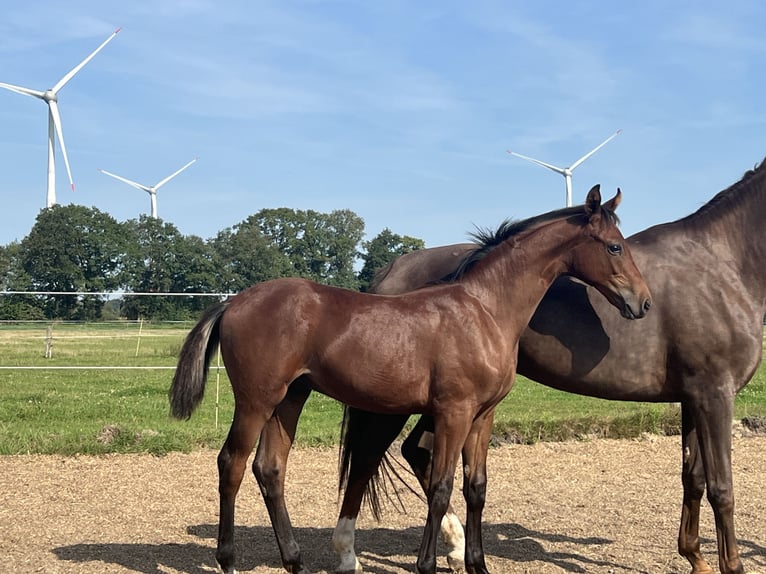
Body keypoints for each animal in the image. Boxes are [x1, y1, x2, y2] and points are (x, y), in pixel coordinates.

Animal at [171, 187, 652, 574]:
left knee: (270, 469)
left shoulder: (483, 416)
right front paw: (428, 565)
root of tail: (233, 301)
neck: (484, 309)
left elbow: (476, 488)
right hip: (257, 400)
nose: (643, 303)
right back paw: (229, 561)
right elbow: (440, 488)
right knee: (231, 465)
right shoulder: (454, 412)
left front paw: (477, 564)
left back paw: (295, 561)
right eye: (614, 246)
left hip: (290, 399)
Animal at [340, 159, 766, 574]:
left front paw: (695, 556)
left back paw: (456, 546)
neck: (719, 265)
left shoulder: (693, 399)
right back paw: (349, 555)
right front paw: (730, 565)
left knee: (417, 452)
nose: (642, 303)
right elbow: (722, 488)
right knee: (366, 460)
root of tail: (392, 268)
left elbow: (693, 478)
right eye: (614, 247)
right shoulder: (714, 395)